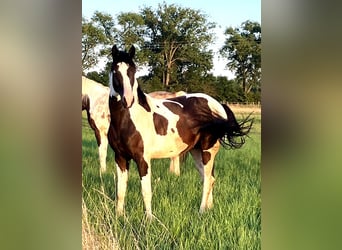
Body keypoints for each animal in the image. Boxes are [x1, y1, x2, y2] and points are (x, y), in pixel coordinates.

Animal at [108, 45, 252, 219]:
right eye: (115, 70)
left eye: (133, 71)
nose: (127, 100)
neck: (128, 120)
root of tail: (218, 105)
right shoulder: (120, 158)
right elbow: (120, 191)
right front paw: (118, 217)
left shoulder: (143, 159)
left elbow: (146, 192)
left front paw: (149, 220)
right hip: (196, 152)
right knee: (209, 178)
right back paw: (209, 209)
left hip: (208, 150)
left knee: (207, 181)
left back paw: (201, 211)